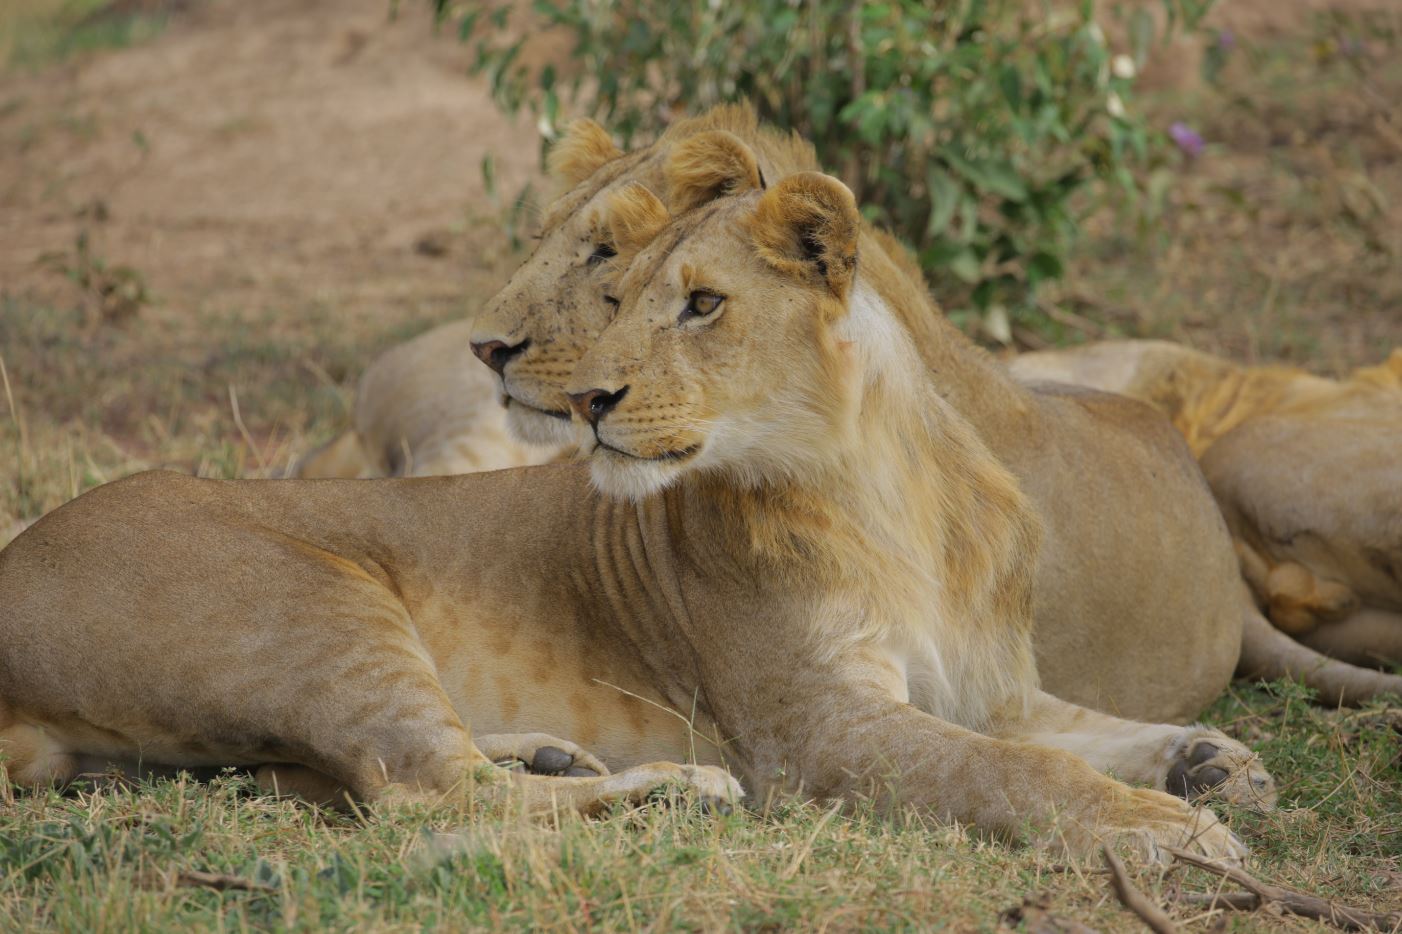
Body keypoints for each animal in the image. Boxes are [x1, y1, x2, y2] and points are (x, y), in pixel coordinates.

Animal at [0, 169, 1271, 865]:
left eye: (701, 304)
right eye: (614, 299)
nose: (591, 400)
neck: (879, 487)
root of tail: (19, 552)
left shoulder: (988, 684)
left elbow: (1085, 726)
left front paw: (1207, 760)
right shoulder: (819, 730)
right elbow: (1022, 773)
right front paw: (1170, 829)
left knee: (370, 774)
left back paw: (566, 753)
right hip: (317, 602)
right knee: (421, 793)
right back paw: (679, 787)